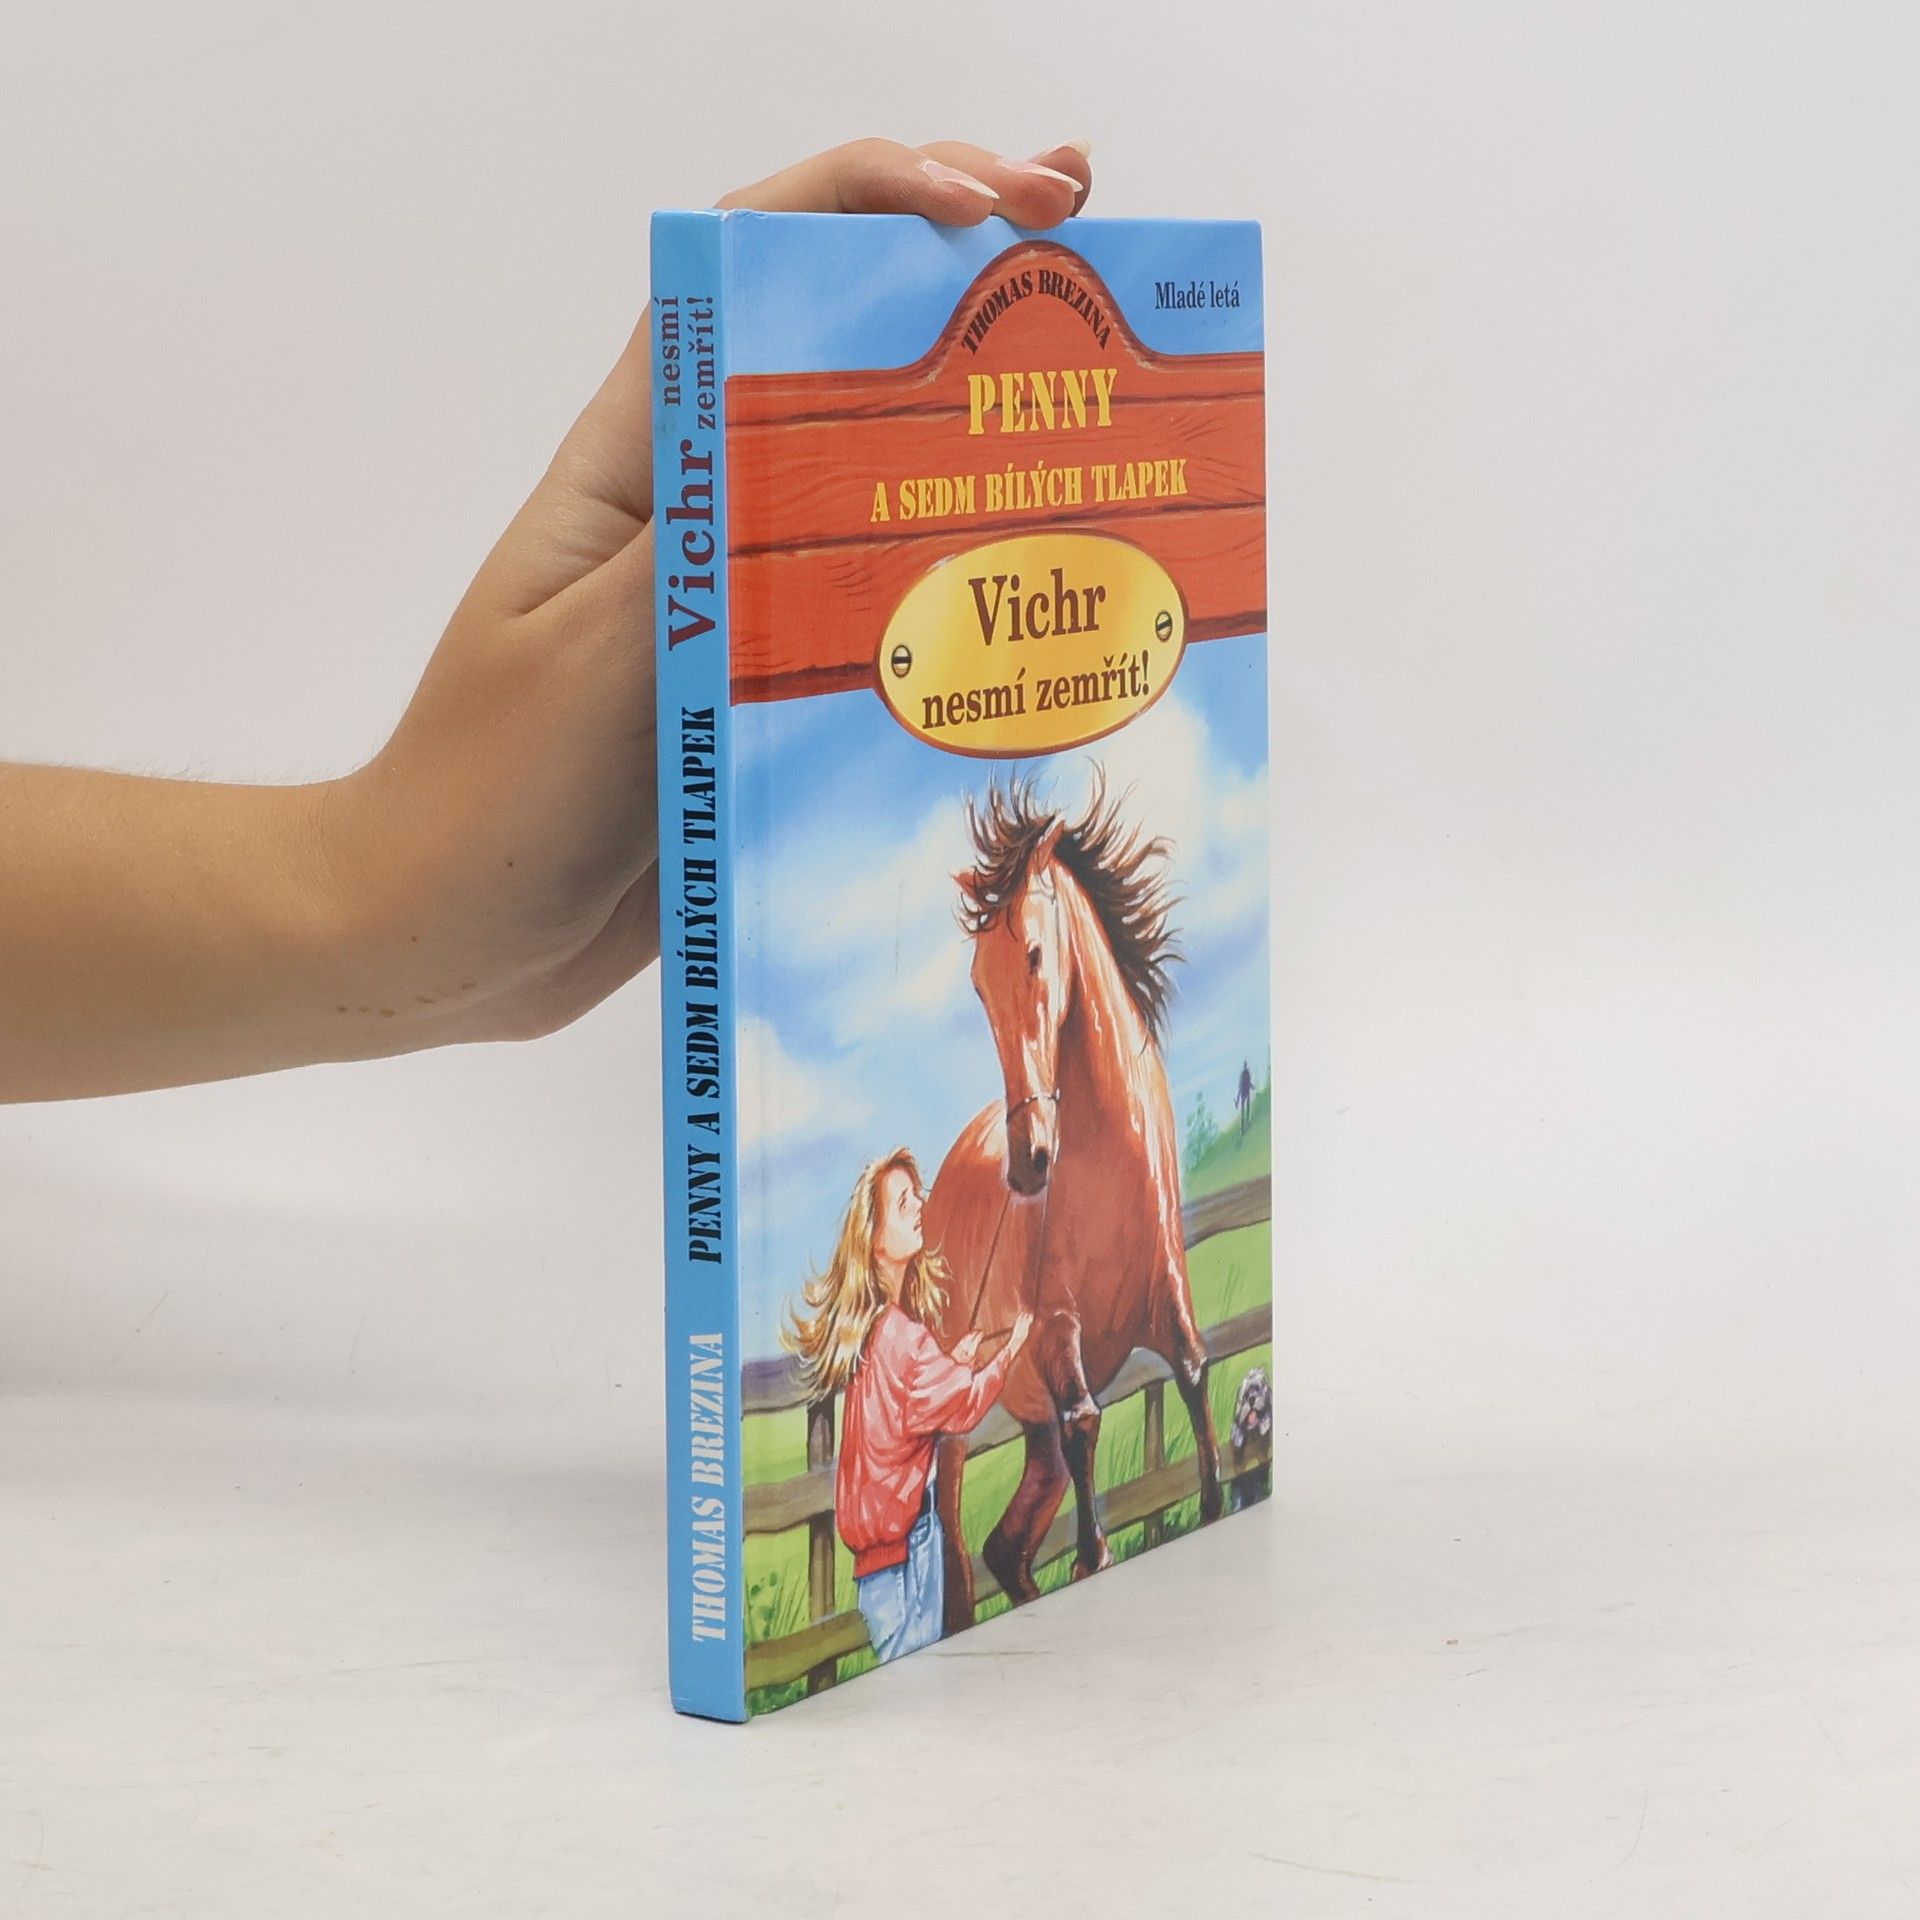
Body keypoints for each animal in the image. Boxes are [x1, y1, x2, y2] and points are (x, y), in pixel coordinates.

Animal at [923, 774, 1225, 1636]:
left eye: (1032, 952)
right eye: (977, 982)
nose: (1029, 1164)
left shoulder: (1170, 1296)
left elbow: (1195, 1377)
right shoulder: (1060, 1330)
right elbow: (1089, 1421)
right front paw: (1096, 1558)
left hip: (1031, 1437)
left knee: (1006, 1550)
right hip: (954, 1434)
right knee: (960, 1559)